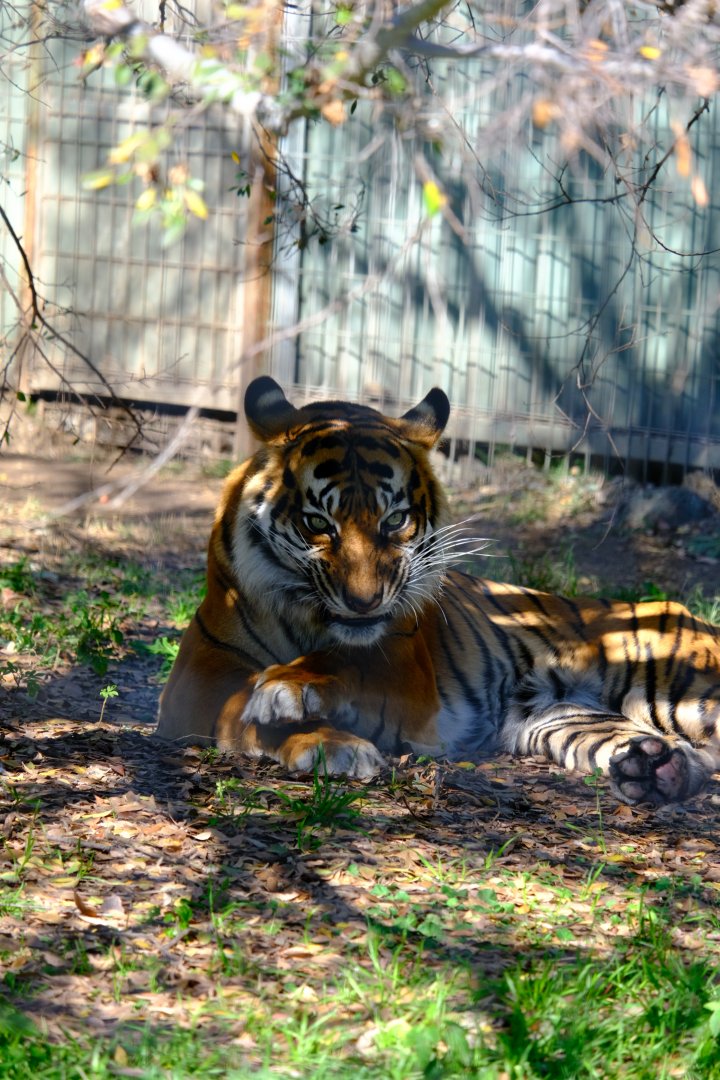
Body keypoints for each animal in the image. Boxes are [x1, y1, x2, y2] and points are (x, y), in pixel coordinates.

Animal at [156, 375, 720, 806]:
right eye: (318, 523)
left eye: (395, 520)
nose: (364, 602)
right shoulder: (195, 681)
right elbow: (238, 708)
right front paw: (328, 743)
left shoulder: (406, 670)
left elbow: (347, 661)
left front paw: (286, 691)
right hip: (564, 717)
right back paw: (654, 768)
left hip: (685, 692)